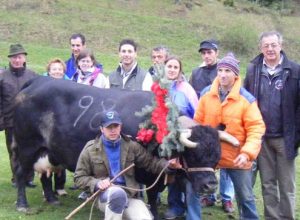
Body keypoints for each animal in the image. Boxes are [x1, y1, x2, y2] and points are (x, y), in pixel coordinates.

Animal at [11, 76, 230, 219]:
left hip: (47, 151)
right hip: (26, 146)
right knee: (21, 173)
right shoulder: (148, 174)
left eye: (216, 157)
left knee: (45, 175)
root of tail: (37, 82)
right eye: (193, 155)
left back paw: (51, 199)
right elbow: (151, 195)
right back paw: (22, 204)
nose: (210, 185)